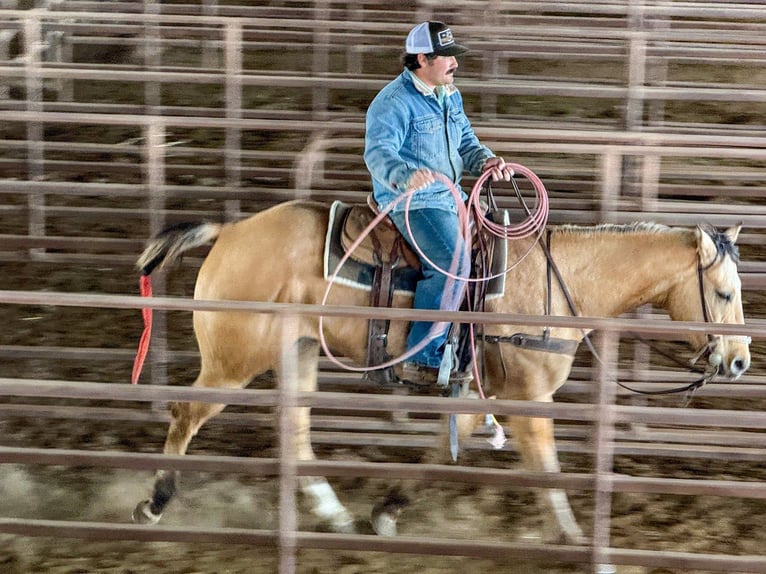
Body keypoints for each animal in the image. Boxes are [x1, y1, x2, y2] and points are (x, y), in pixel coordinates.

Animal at [130, 198, 750, 545]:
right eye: (723, 293)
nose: (742, 359)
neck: (558, 284)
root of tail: (231, 231)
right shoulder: (528, 401)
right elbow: (549, 471)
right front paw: (578, 541)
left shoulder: (482, 395)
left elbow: (439, 452)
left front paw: (386, 513)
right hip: (233, 360)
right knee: (187, 413)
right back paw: (154, 503)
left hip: (298, 351)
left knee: (295, 434)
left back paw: (338, 517)